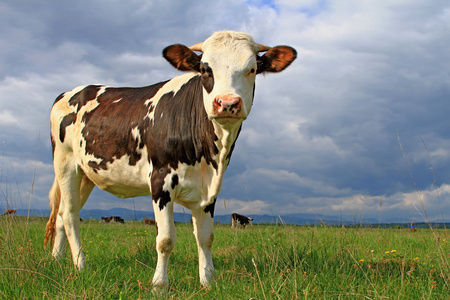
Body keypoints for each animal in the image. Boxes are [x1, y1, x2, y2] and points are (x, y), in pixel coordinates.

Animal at [44, 31, 298, 288]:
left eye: (252, 68)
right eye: (205, 69)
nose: (227, 103)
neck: (208, 154)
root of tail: (72, 91)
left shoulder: (209, 190)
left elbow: (206, 237)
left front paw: (207, 281)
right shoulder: (161, 181)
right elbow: (165, 239)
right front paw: (159, 284)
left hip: (86, 174)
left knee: (62, 213)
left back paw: (57, 259)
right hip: (65, 164)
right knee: (70, 214)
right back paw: (80, 264)